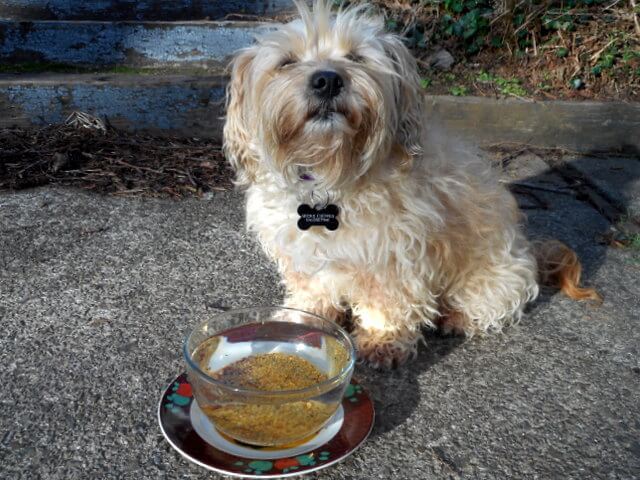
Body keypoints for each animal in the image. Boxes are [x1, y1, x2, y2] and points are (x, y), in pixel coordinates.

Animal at [221, 0, 600, 368]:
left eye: (356, 57)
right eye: (287, 62)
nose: (327, 80)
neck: (331, 174)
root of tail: (530, 251)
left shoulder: (393, 256)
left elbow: (388, 304)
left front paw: (382, 339)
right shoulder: (304, 256)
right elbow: (312, 291)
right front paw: (300, 321)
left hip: (494, 276)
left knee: (494, 303)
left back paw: (456, 316)